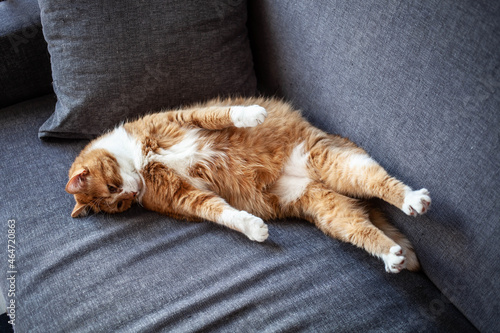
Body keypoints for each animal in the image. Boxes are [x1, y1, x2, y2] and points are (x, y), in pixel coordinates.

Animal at [66, 96, 432, 272]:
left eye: (113, 188)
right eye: (119, 203)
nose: (129, 192)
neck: (140, 163)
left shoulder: (182, 118)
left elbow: (224, 113)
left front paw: (252, 114)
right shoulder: (187, 198)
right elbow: (224, 214)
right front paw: (254, 229)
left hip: (335, 161)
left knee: (381, 183)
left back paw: (413, 199)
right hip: (329, 210)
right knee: (363, 229)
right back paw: (391, 256)